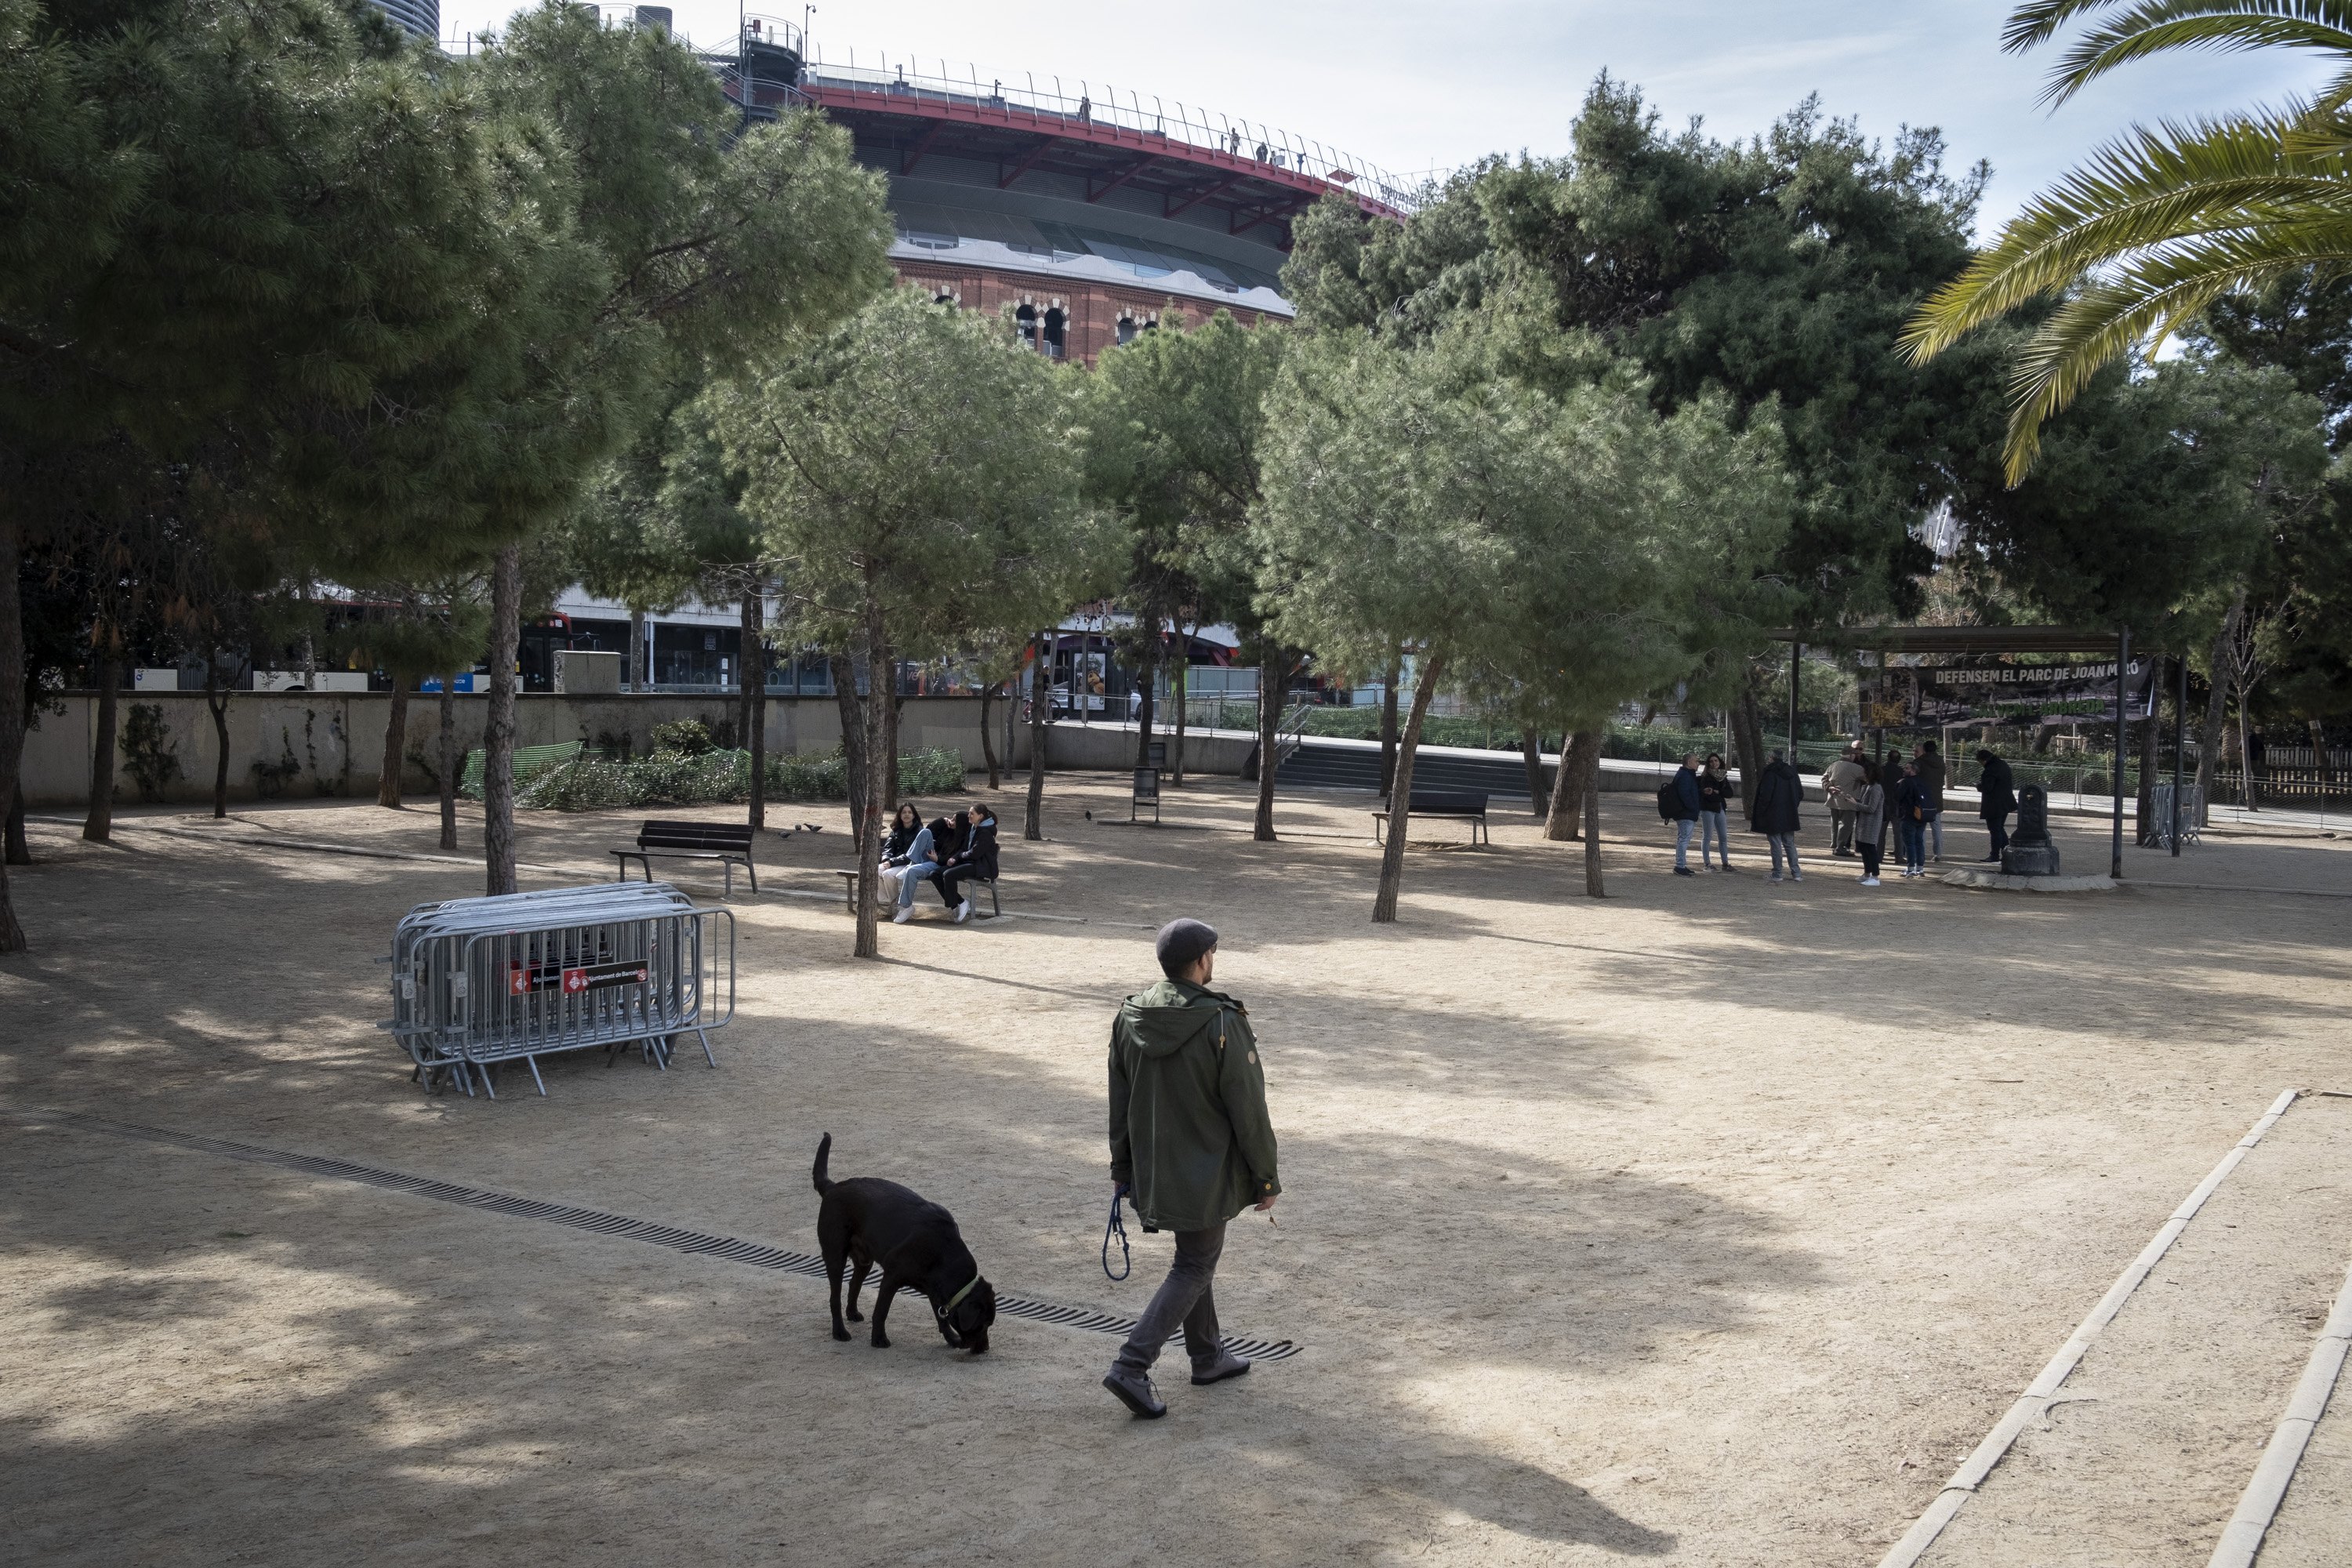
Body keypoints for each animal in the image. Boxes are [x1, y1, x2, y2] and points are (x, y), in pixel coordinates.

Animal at [818, 1133, 993, 1354]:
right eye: (983, 1324)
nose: (985, 1348)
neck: (943, 1253)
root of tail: (832, 1187)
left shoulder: (934, 1288)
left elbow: (941, 1317)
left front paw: (951, 1339)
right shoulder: (892, 1277)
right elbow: (881, 1311)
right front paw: (879, 1339)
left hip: (864, 1261)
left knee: (854, 1284)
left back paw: (852, 1313)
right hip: (835, 1257)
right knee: (835, 1297)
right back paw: (839, 1332)